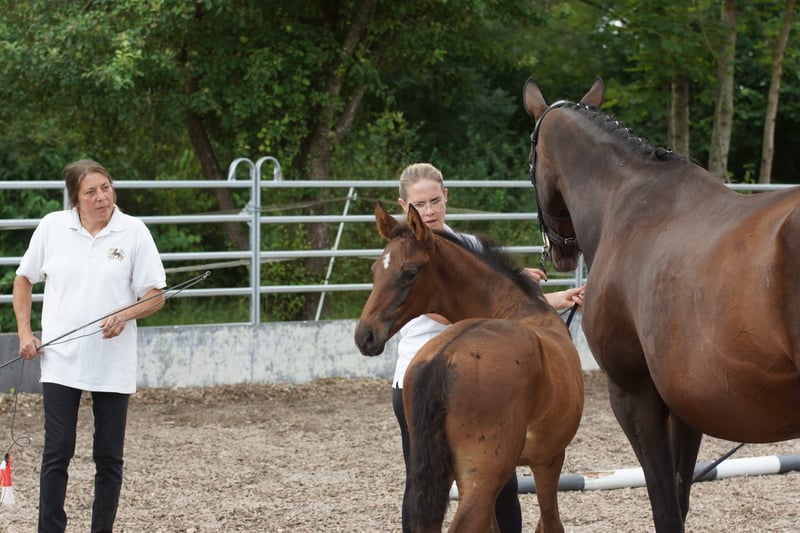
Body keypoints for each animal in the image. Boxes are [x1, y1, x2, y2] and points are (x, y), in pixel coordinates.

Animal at [354, 202, 584, 533]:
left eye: (409, 272)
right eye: (375, 271)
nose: (365, 335)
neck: (521, 310)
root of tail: (443, 358)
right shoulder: (550, 457)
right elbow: (550, 522)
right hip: (484, 479)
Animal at [522, 77, 800, 532]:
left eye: (529, 163)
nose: (559, 252)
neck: (628, 202)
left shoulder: (634, 395)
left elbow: (665, 507)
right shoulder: (687, 406)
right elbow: (680, 498)